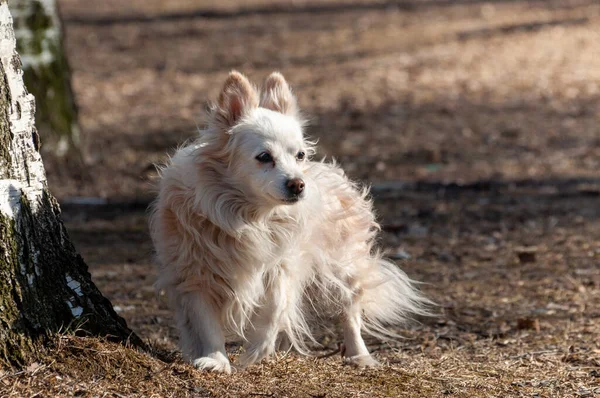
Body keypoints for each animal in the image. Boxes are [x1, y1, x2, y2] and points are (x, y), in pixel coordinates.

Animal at [151, 70, 432, 374]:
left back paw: (360, 355)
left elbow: (274, 308)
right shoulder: (193, 274)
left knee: (350, 311)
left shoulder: (282, 266)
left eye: (300, 155)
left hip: (343, 265)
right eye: (264, 157)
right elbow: (206, 322)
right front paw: (215, 360)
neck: (250, 217)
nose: (298, 184)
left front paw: (258, 350)